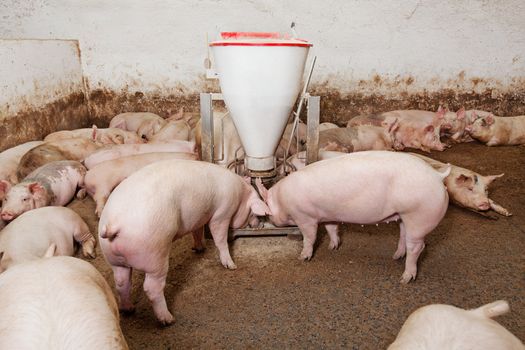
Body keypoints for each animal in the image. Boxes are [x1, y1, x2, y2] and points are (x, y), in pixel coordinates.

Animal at [99, 160, 270, 324]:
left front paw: (199, 248)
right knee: (151, 287)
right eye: (253, 213)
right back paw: (168, 319)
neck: (240, 193)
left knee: (121, 283)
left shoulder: (199, 217)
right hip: (154, 254)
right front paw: (232, 266)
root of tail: (112, 223)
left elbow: (198, 231)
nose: (261, 224)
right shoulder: (222, 213)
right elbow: (219, 237)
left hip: (115, 260)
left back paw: (129, 309)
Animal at [256, 152, 448, 284]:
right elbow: (332, 228)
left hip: (418, 216)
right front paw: (333, 247)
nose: (269, 221)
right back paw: (396, 257)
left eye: (268, 208)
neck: (282, 199)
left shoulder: (305, 217)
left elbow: (309, 238)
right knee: (403, 236)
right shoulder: (328, 214)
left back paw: (405, 279)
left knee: (417, 246)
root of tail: (438, 176)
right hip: (403, 216)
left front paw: (303, 257)